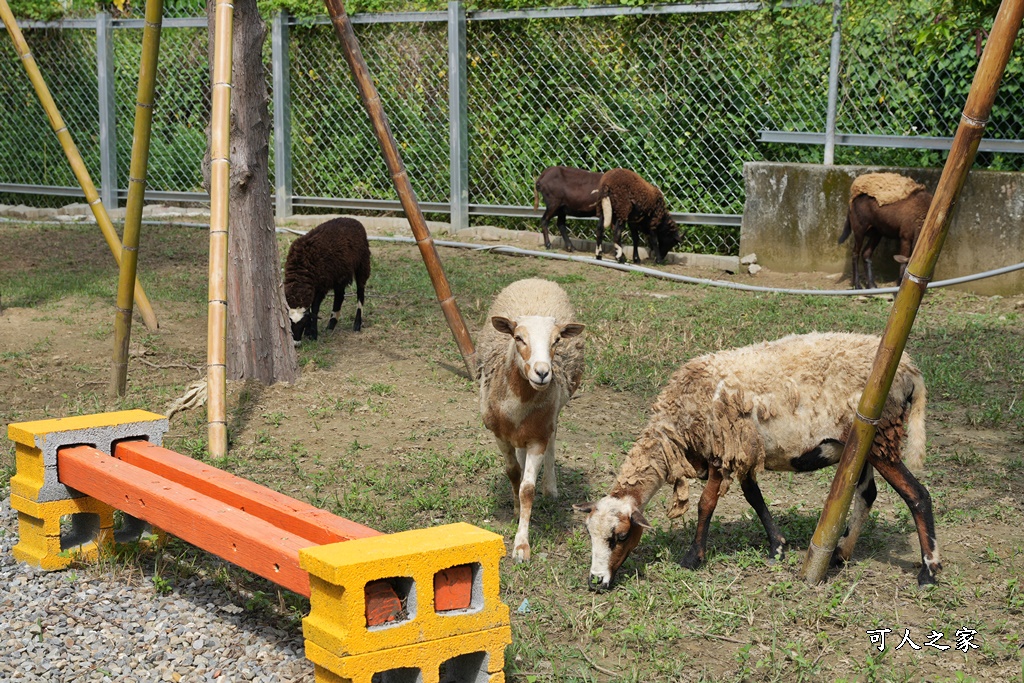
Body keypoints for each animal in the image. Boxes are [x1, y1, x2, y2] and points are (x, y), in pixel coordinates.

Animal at [573, 331, 937, 589]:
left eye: (620, 537)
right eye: (589, 535)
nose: (596, 583)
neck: (676, 425)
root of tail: (911, 370)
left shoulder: (722, 453)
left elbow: (706, 504)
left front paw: (693, 557)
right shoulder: (744, 451)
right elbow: (754, 498)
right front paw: (777, 546)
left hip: (880, 434)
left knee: (918, 496)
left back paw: (929, 572)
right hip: (859, 447)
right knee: (867, 495)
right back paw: (841, 554)